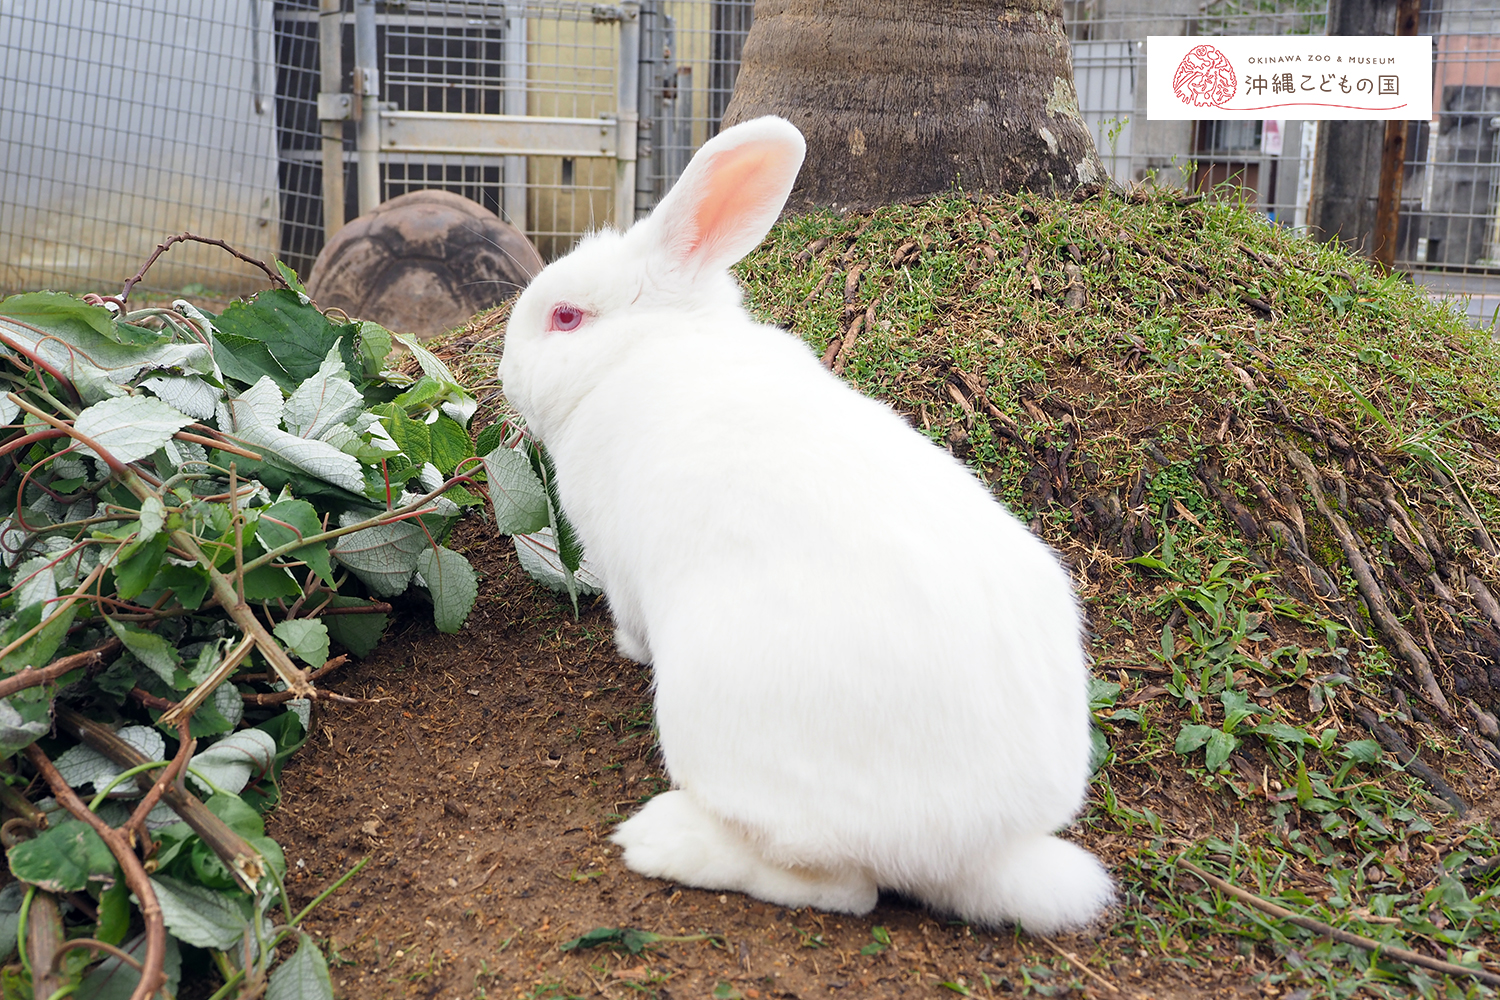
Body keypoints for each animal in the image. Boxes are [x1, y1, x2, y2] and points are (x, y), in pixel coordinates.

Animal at [501, 119, 1116, 941]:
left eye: (565, 317)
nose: (505, 371)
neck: (641, 352)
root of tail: (985, 843)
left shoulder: (621, 565)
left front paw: (628, 651)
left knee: (835, 884)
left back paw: (662, 840)